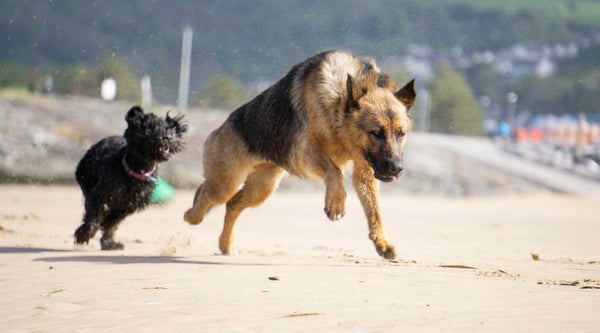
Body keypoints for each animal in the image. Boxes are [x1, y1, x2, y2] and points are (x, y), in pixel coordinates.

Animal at [75, 106, 188, 249]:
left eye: (168, 128)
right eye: (150, 128)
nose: (168, 137)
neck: (137, 170)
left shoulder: (129, 205)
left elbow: (112, 222)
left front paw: (107, 237)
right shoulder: (98, 195)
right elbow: (94, 216)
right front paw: (83, 235)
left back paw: (110, 242)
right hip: (85, 177)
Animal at [185, 50, 414, 260]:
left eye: (400, 134)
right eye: (377, 133)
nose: (396, 168)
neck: (338, 102)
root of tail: (222, 126)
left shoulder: (365, 169)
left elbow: (374, 211)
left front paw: (381, 242)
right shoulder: (308, 152)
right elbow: (335, 171)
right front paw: (336, 202)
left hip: (261, 189)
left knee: (232, 204)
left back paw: (226, 244)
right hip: (226, 183)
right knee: (207, 195)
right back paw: (191, 216)